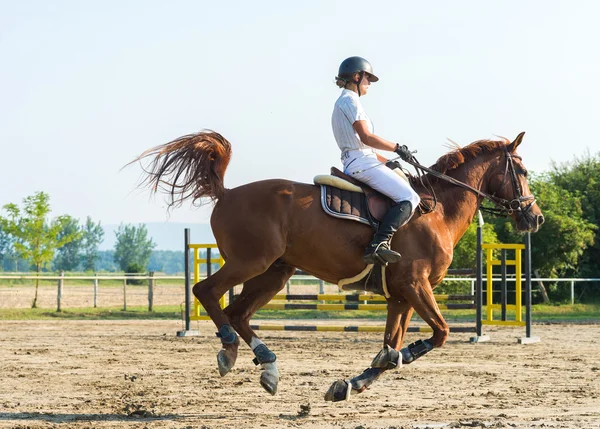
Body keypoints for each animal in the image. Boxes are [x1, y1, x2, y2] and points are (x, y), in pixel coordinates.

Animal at [135, 129, 544, 400]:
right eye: (523, 173)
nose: (535, 217)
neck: (438, 210)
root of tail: (228, 192)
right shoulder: (416, 285)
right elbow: (439, 334)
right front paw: (396, 359)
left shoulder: (402, 296)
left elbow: (391, 344)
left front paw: (353, 382)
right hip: (251, 262)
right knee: (207, 292)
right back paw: (229, 349)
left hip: (274, 273)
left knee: (238, 312)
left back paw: (268, 366)